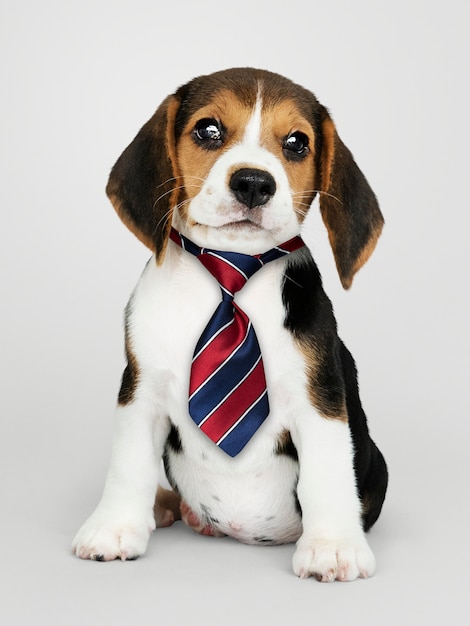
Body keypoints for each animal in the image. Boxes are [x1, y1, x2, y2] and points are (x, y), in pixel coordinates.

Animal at [71, 67, 388, 580]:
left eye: (297, 142)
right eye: (208, 130)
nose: (254, 183)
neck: (232, 272)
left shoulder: (320, 399)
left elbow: (326, 473)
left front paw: (333, 547)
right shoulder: (139, 390)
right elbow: (128, 466)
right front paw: (114, 529)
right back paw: (164, 506)